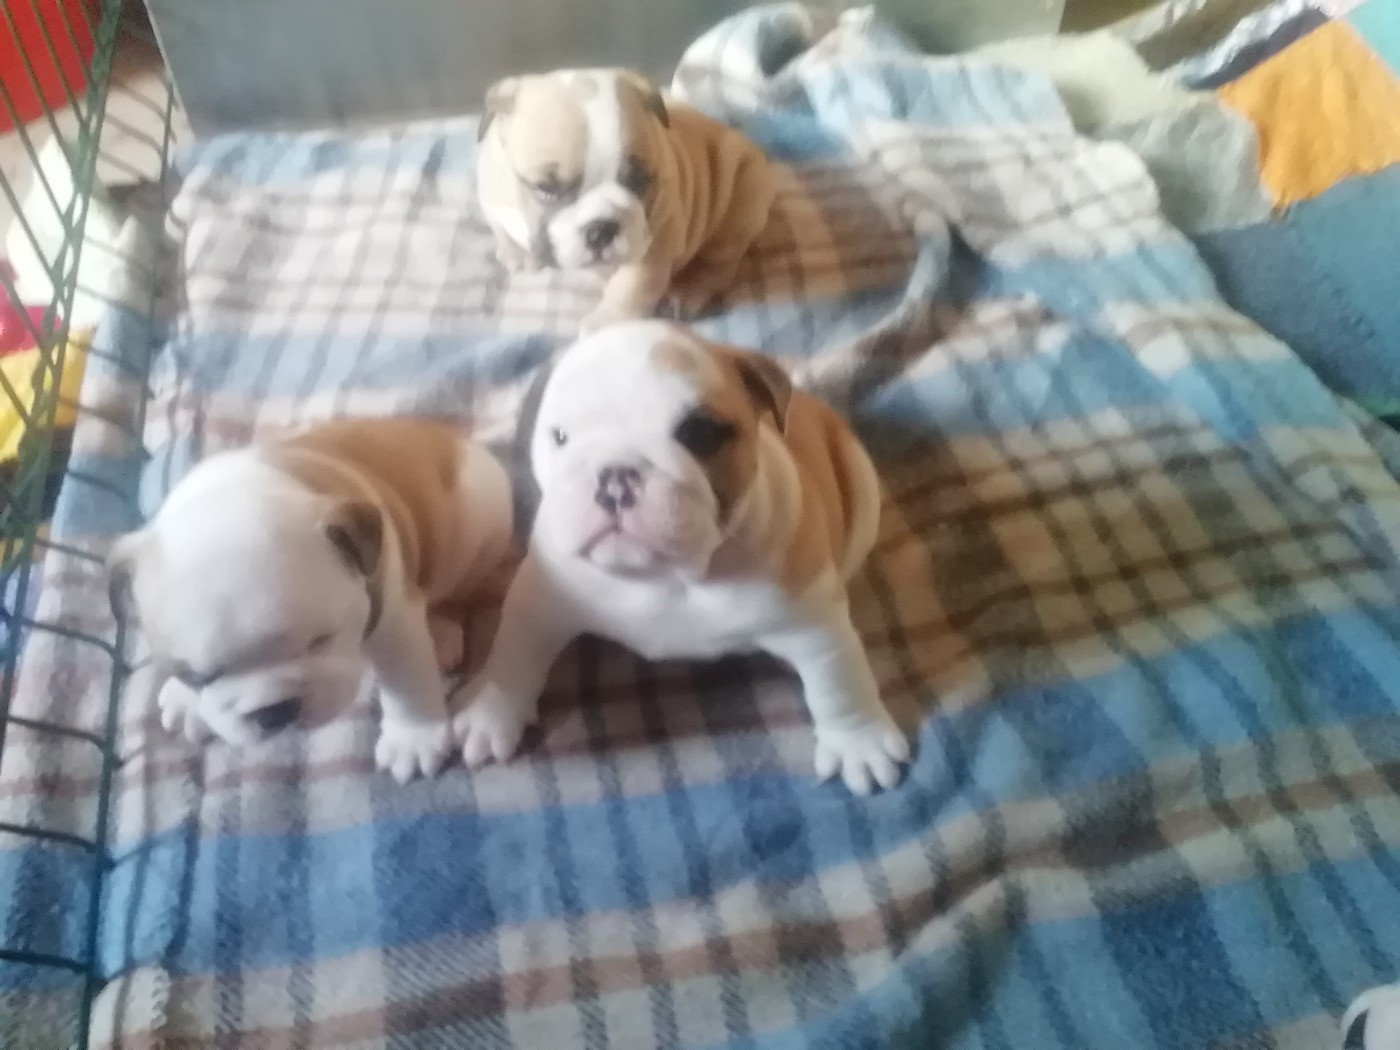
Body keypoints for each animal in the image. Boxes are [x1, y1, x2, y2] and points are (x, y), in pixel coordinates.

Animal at [109, 419, 514, 783]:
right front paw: (184, 698)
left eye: (321, 640)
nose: (274, 710)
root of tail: (453, 437)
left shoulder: (394, 619)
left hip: (475, 539)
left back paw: (443, 634)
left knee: (460, 591)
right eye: (195, 676)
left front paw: (413, 741)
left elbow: (407, 683)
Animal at [453, 321, 911, 794]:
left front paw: (858, 744)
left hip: (862, 488)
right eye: (560, 437)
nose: (616, 474)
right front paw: (491, 714)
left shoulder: (814, 621)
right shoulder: (539, 601)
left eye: (699, 434)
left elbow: (838, 682)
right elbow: (512, 653)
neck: (669, 576)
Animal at [475, 68, 776, 331]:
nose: (600, 229)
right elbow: (498, 227)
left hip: (739, 209)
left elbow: (632, 286)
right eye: (546, 188)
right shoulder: (491, 198)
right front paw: (516, 254)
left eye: (639, 180)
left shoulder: (656, 240)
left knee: (718, 265)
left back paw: (685, 293)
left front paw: (607, 322)